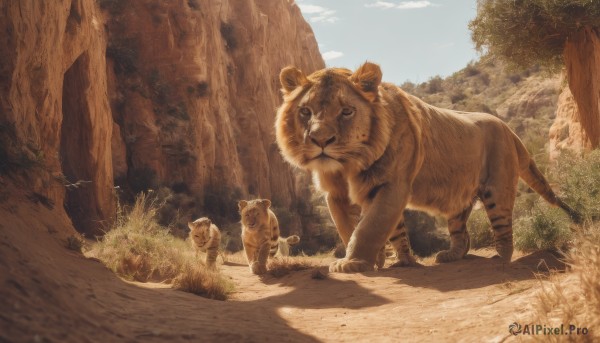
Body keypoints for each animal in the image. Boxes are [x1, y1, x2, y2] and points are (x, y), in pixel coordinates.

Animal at [274, 61, 580, 274]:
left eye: (346, 111)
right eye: (306, 112)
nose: (320, 140)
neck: (347, 165)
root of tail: (509, 128)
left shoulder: (392, 184)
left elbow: (370, 226)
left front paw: (354, 263)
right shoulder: (336, 194)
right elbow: (351, 227)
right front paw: (383, 261)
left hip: (497, 187)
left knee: (503, 228)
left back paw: (500, 258)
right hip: (459, 197)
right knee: (462, 234)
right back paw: (446, 256)